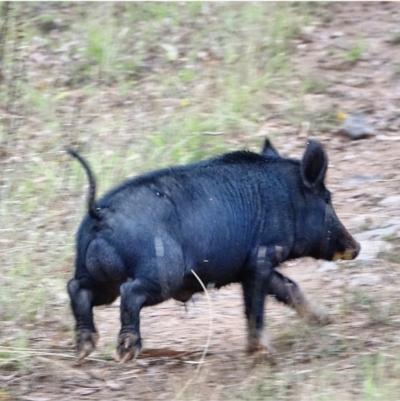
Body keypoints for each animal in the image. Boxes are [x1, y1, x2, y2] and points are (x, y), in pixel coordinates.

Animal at [66, 140, 360, 362]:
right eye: (328, 199)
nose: (356, 247)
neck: (287, 200)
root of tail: (100, 214)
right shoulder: (261, 257)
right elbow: (255, 306)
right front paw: (264, 354)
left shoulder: (251, 266)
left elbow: (287, 286)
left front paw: (325, 319)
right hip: (162, 273)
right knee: (129, 293)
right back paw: (126, 352)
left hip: (97, 276)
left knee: (76, 288)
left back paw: (84, 349)